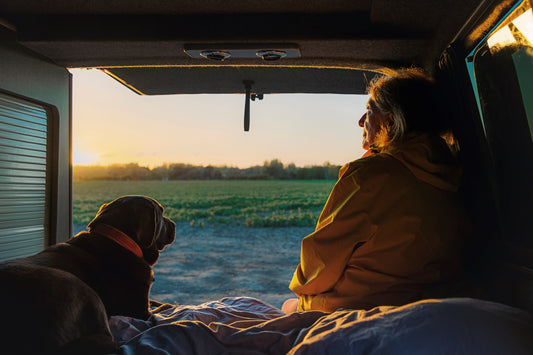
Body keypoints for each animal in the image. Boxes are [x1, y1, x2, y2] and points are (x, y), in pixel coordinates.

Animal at [0, 196, 177, 354]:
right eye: (161, 212)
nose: (174, 224)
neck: (118, 240)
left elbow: (155, 302)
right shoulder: (140, 311)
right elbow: (158, 310)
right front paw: (167, 308)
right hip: (80, 288)